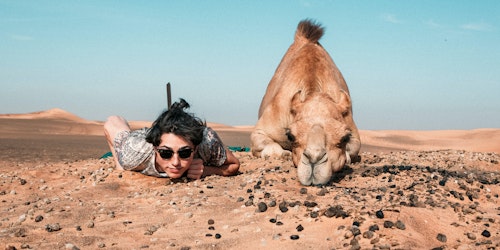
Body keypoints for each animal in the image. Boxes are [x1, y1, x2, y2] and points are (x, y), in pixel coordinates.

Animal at [252, 19, 362, 186]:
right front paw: (282, 154)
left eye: (345, 138)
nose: (314, 160)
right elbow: (270, 147)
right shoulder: (263, 127)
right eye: (291, 136)